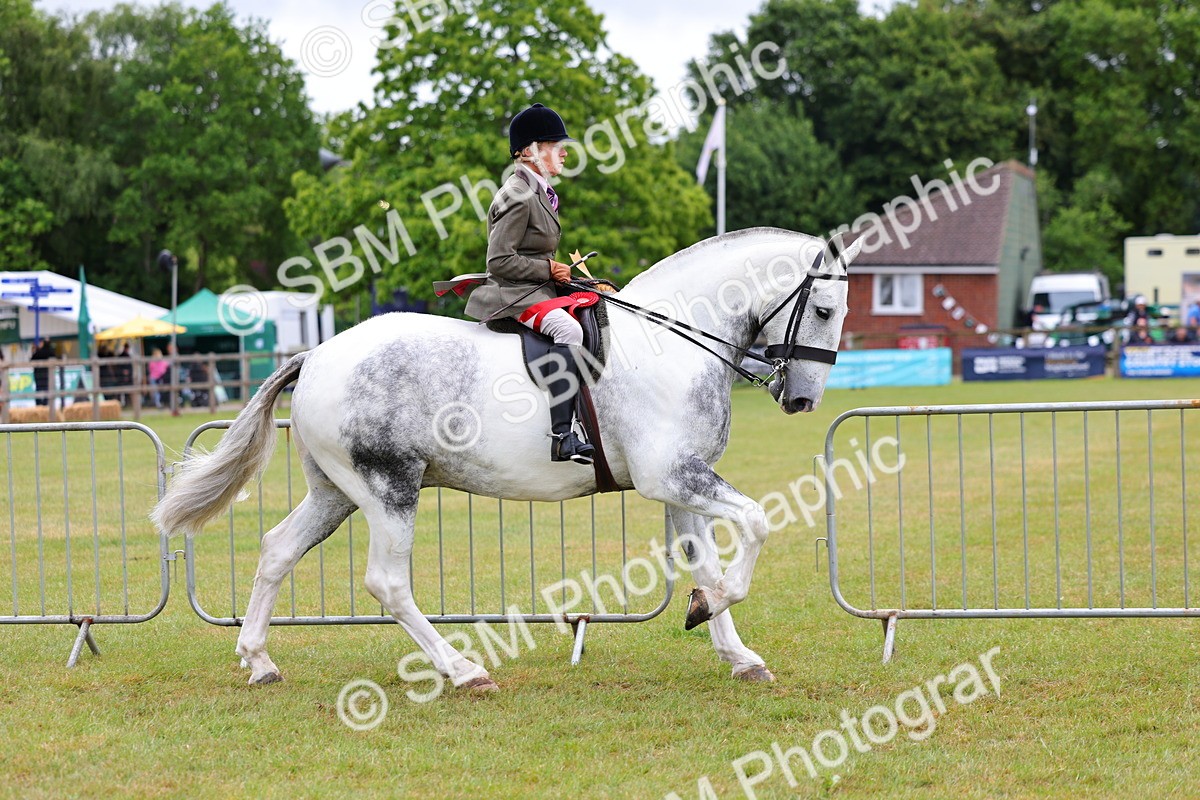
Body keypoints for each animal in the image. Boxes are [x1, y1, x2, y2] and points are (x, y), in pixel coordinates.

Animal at [152, 227, 860, 689]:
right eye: (824, 309)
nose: (802, 398)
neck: (670, 342)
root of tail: (318, 354)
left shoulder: (678, 484)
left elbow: (705, 561)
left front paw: (729, 643)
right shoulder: (676, 477)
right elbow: (757, 524)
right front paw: (712, 607)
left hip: (334, 493)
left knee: (277, 549)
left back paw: (260, 661)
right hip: (388, 489)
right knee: (388, 583)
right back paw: (462, 670)